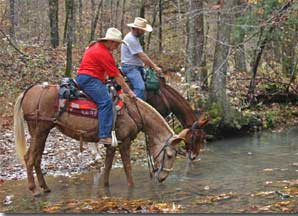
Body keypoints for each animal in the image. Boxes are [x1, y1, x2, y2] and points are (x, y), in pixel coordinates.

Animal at [14, 83, 187, 197]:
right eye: (170, 155)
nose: (163, 178)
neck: (133, 112)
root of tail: (29, 91)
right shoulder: (124, 142)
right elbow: (127, 169)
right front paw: (131, 189)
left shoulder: (111, 145)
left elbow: (107, 168)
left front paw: (105, 189)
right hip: (40, 130)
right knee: (29, 158)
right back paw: (34, 190)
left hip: (41, 132)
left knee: (37, 158)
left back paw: (45, 187)